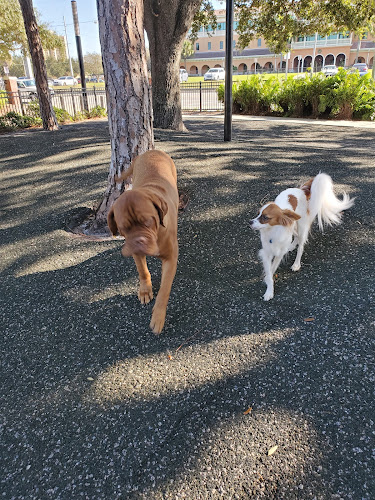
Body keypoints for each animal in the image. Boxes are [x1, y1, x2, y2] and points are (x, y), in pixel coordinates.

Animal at [108, 150, 180, 334]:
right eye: (124, 228)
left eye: (148, 221)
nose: (139, 240)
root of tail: (152, 151)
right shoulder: (136, 252)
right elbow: (143, 271)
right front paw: (145, 291)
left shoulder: (171, 259)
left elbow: (164, 290)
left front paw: (158, 316)